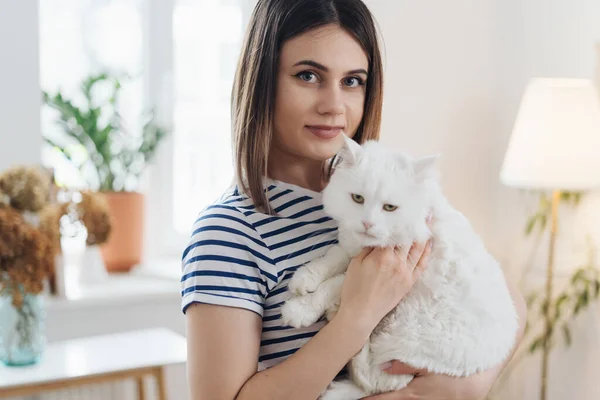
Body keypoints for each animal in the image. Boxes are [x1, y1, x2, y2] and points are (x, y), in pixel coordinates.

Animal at [278, 135, 516, 400]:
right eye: (358, 199)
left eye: (389, 208)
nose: (367, 223)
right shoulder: (353, 249)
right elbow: (331, 258)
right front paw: (304, 278)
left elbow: (333, 284)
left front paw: (300, 309)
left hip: (401, 337)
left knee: (377, 382)